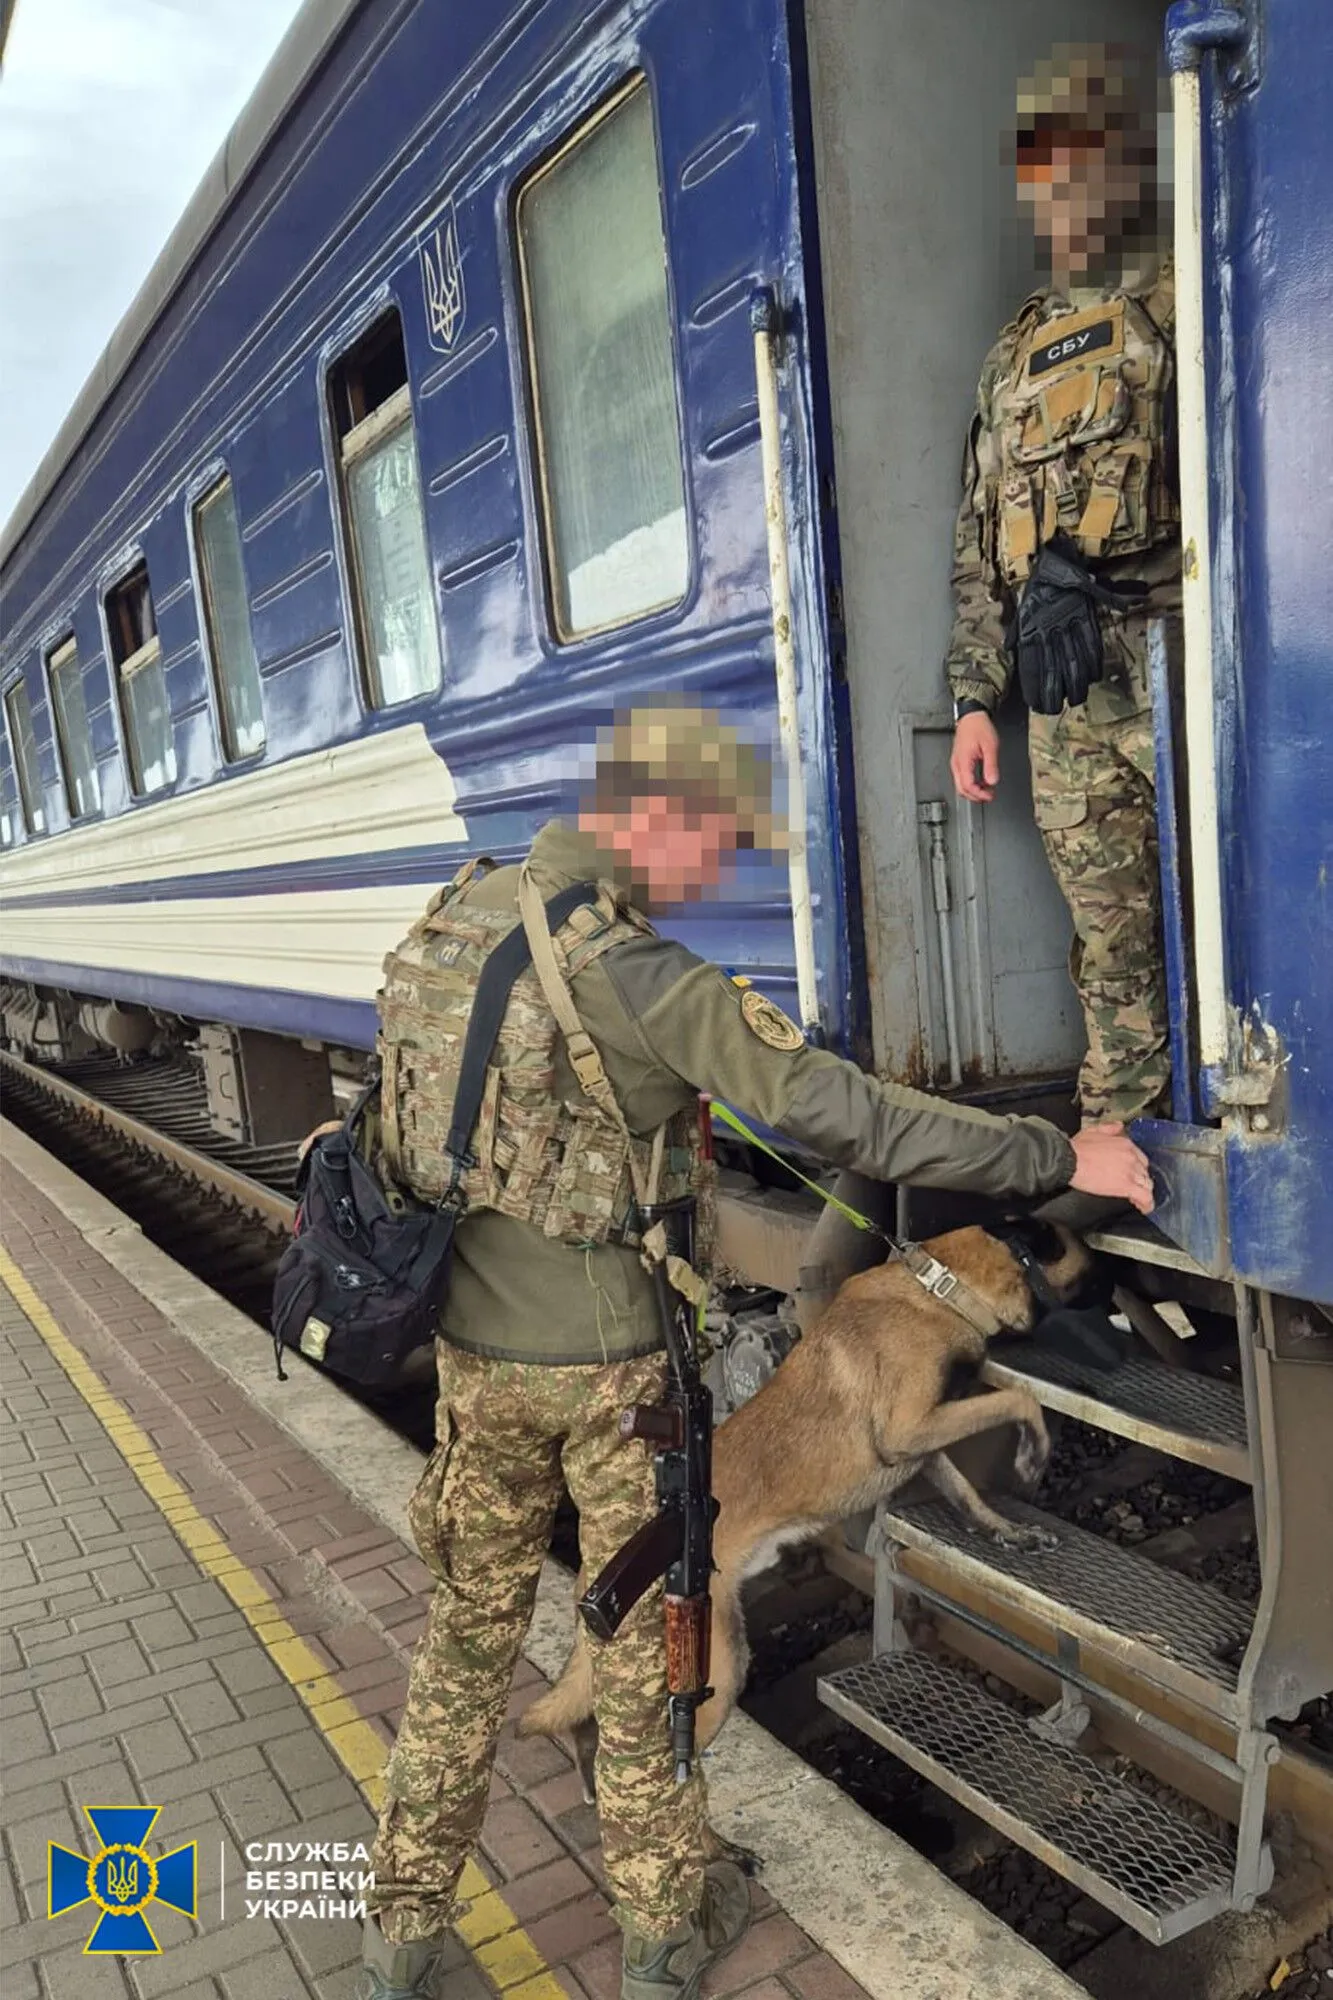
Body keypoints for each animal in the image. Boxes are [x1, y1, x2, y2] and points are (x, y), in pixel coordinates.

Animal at [512, 1216, 1088, 1784]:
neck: (935, 1286)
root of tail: (598, 1571)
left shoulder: (921, 1446)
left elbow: (967, 1493)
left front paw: (1008, 1533)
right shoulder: (910, 1428)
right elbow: (1018, 1398)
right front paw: (1034, 1453)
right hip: (720, 1667)